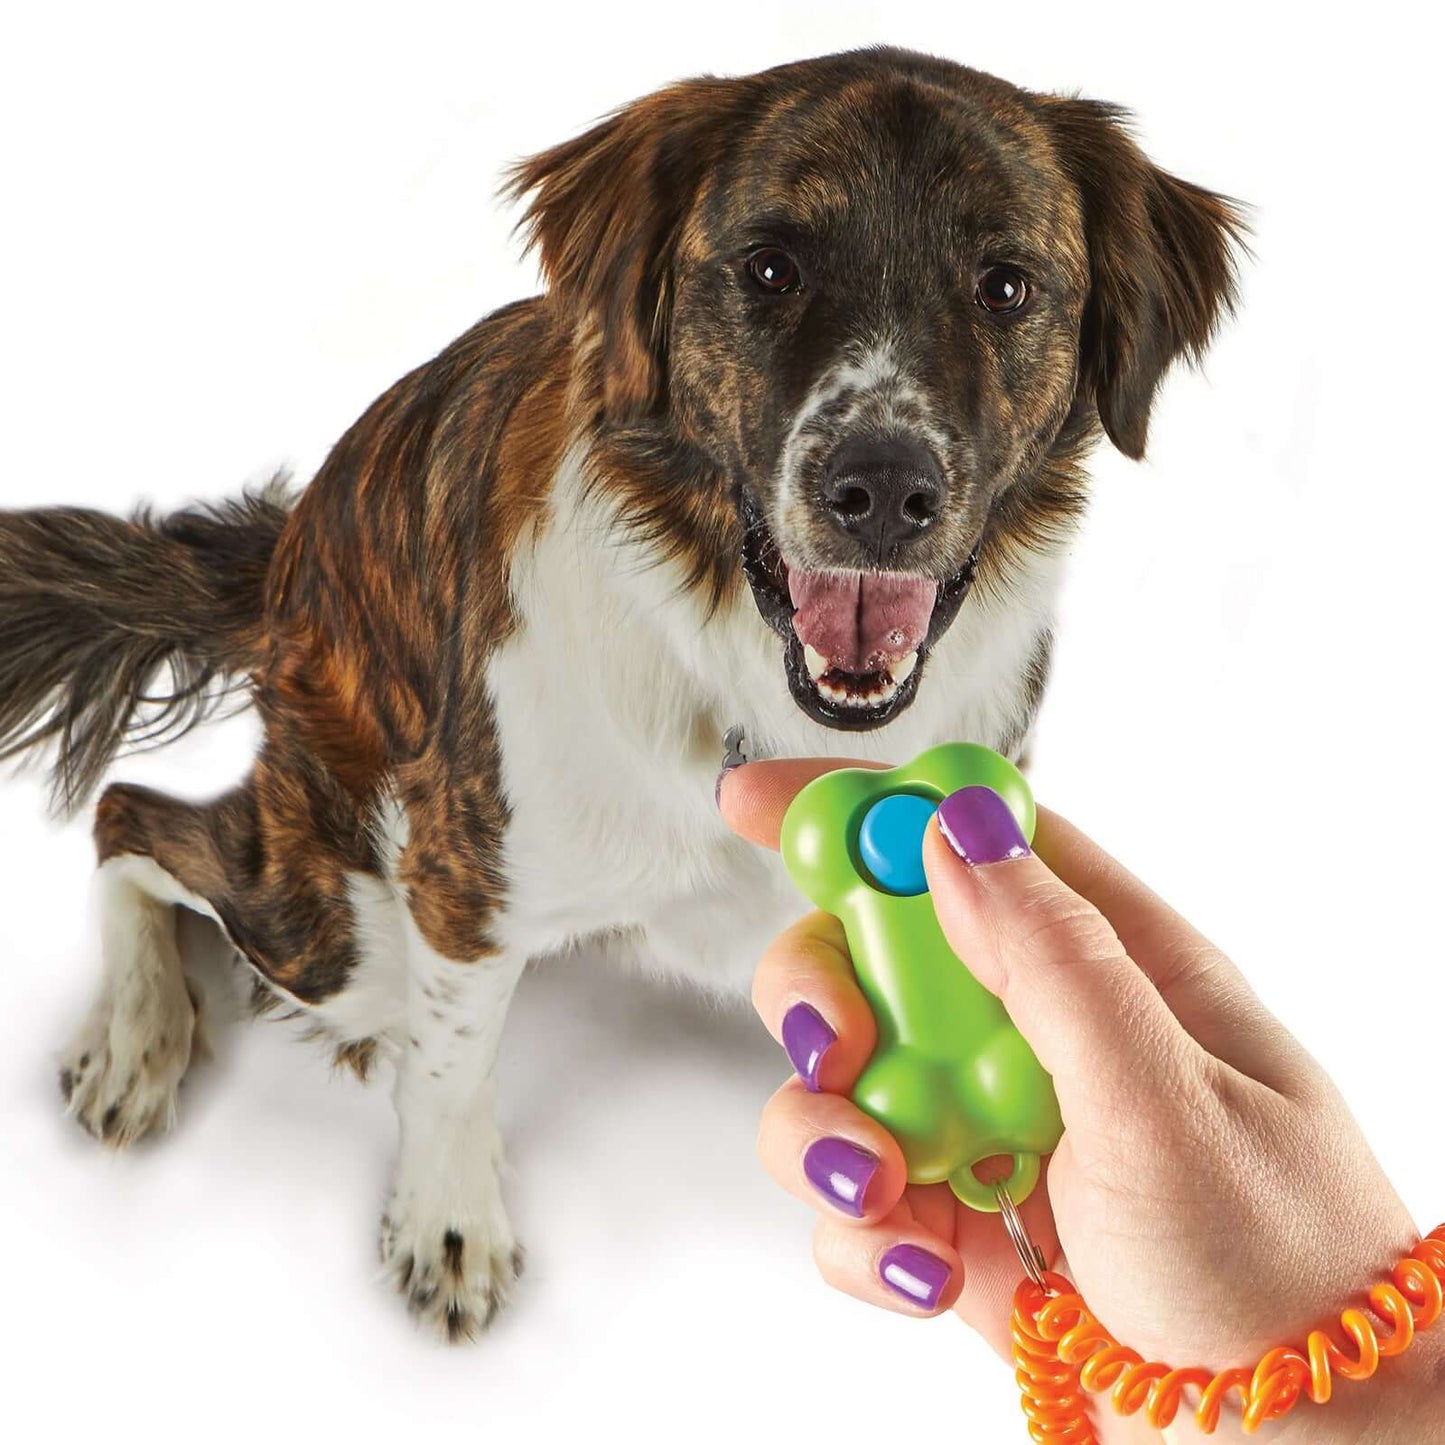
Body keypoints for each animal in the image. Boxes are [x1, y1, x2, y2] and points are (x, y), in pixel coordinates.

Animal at [0, 48, 1242, 1340]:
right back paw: (134, 1041)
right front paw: (449, 1220)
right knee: (131, 823)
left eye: (1004, 284)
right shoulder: (458, 882)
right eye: (768, 266)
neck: (748, 676)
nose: (881, 490)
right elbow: (451, 1065)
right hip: (338, 919)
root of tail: (283, 557)